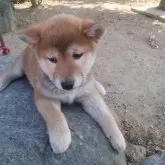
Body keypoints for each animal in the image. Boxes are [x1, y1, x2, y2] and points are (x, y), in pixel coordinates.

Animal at [0, 13, 125, 153]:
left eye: (77, 55)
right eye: (52, 59)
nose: (67, 85)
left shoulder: (89, 95)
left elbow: (106, 115)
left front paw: (117, 137)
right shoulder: (44, 97)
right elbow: (56, 116)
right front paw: (60, 138)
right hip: (19, 68)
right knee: (9, 72)